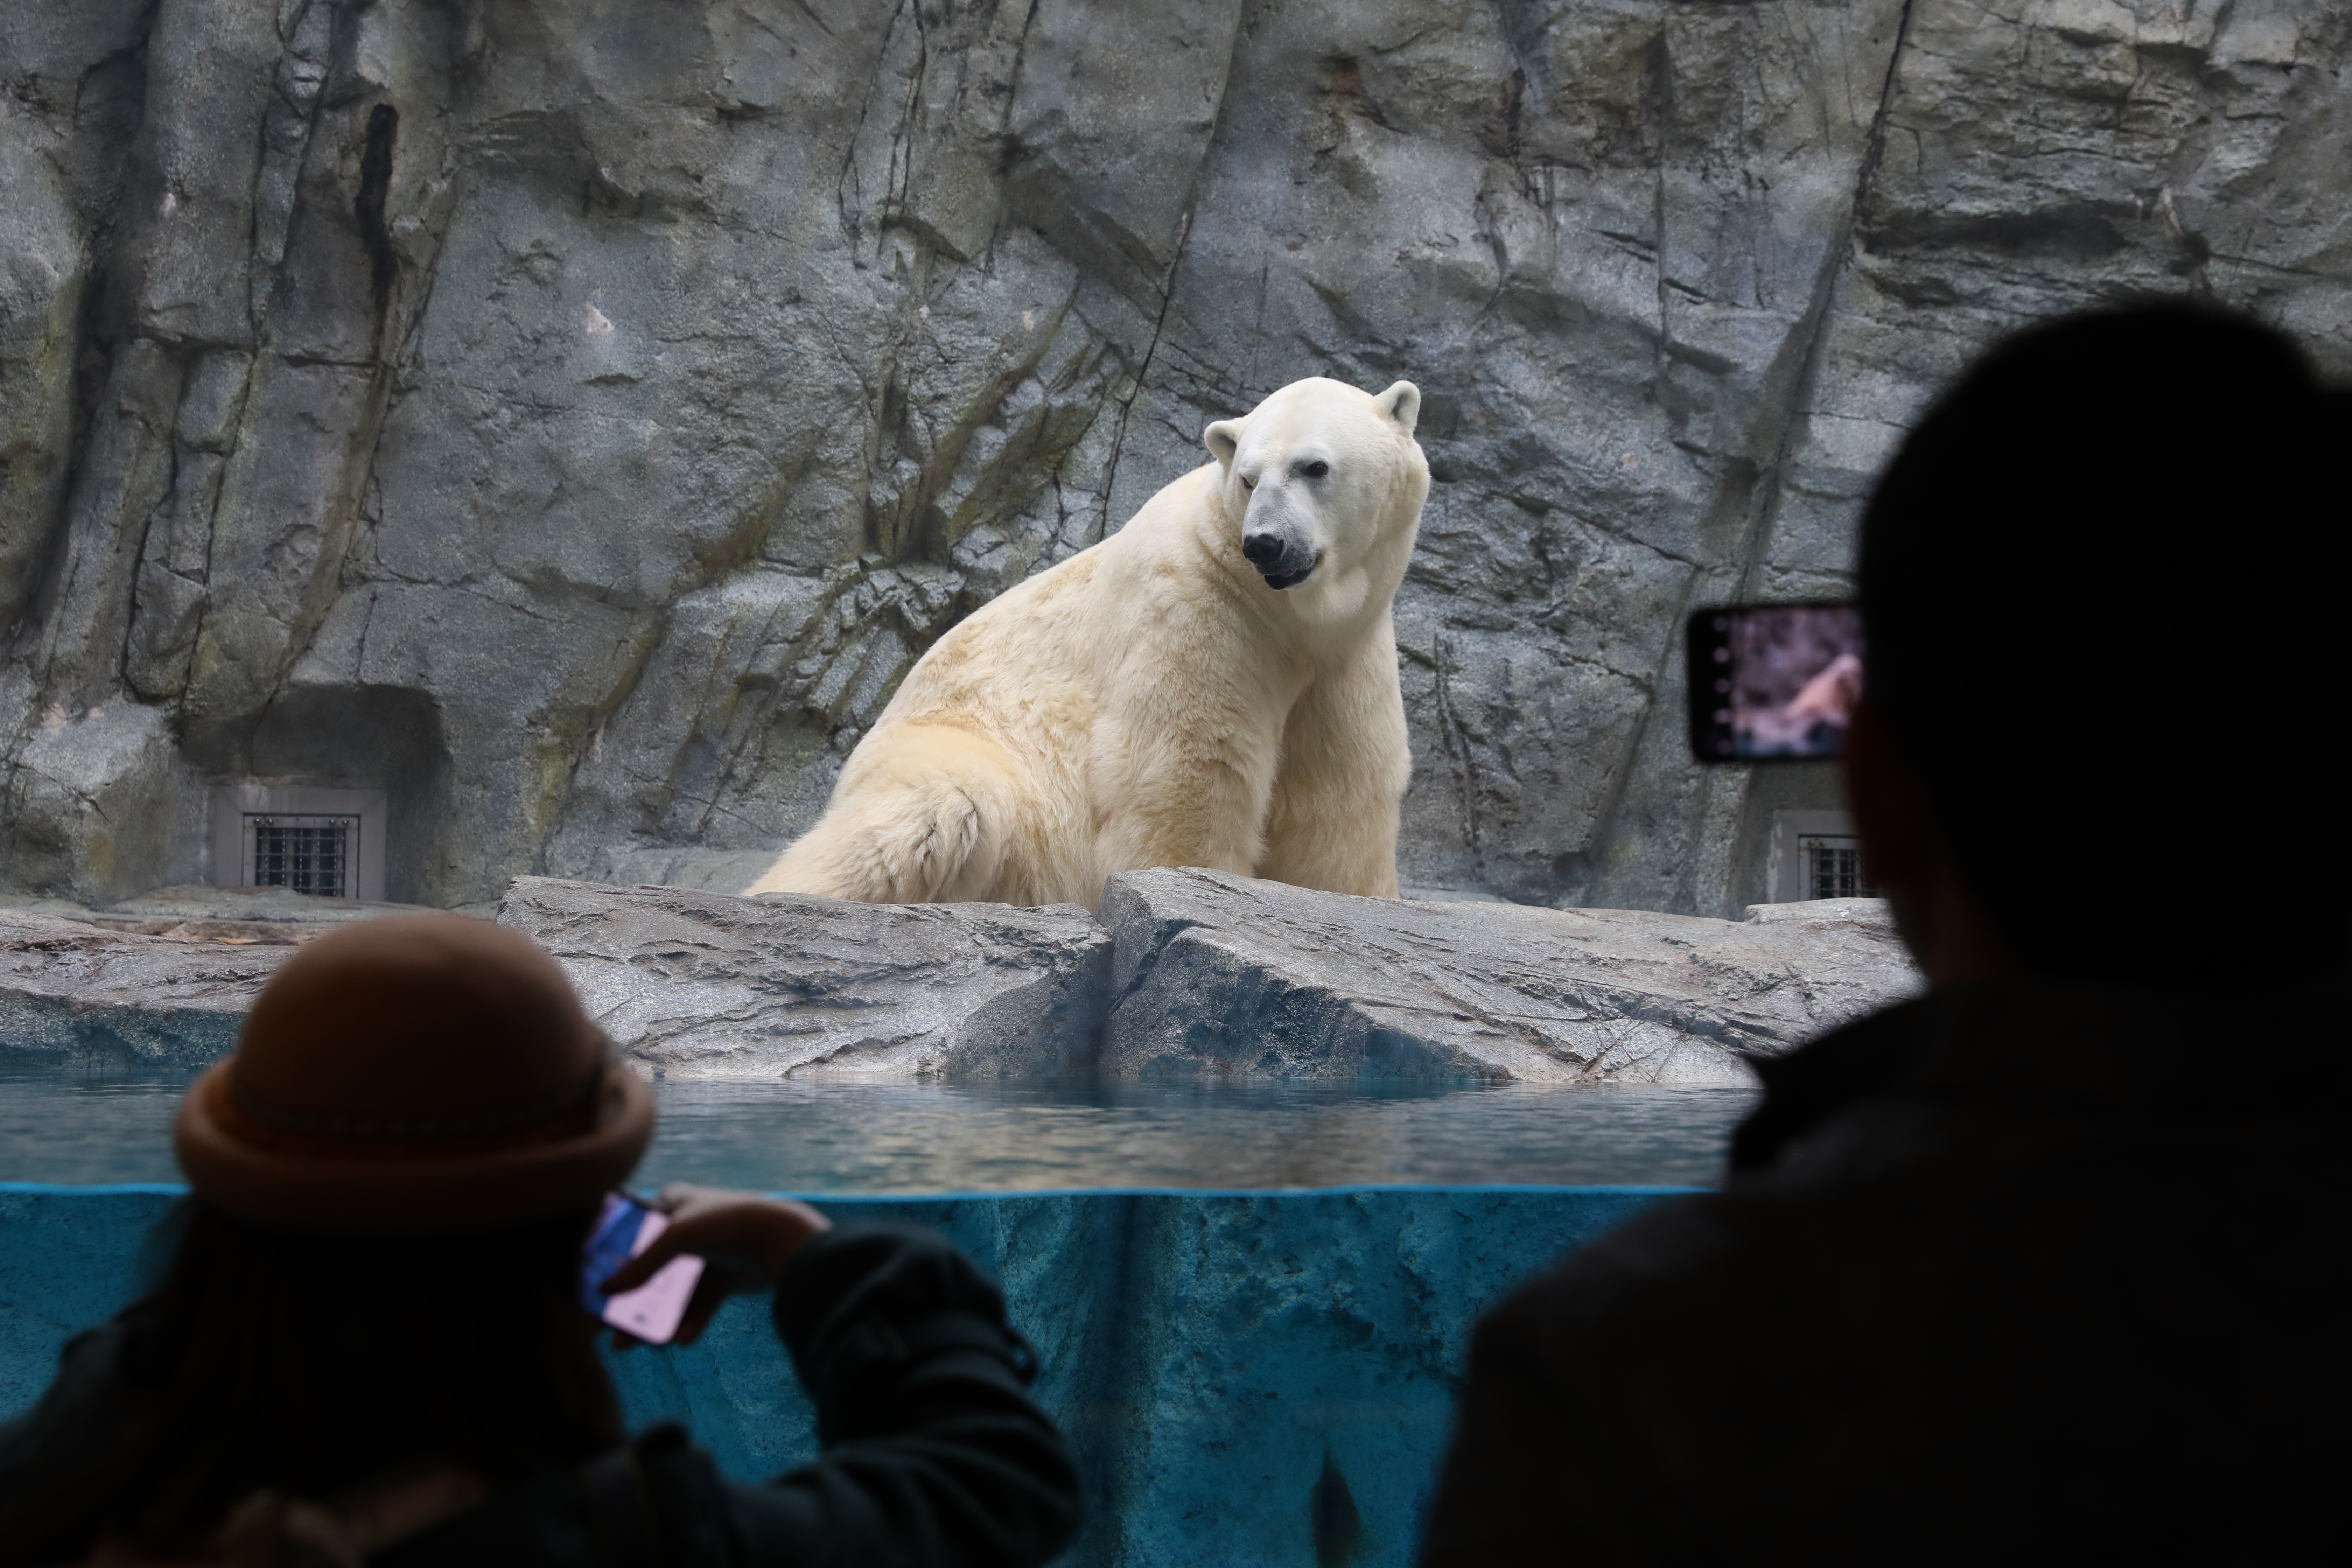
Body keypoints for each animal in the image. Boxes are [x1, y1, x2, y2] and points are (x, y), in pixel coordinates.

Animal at [745, 375, 1429, 908]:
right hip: (970, 753)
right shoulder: (1195, 608)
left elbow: (1339, 793)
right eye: (1248, 478)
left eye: (1314, 467)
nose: (1265, 543)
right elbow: (1188, 767)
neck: (1287, 615)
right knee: (938, 813)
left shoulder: (1346, 655)